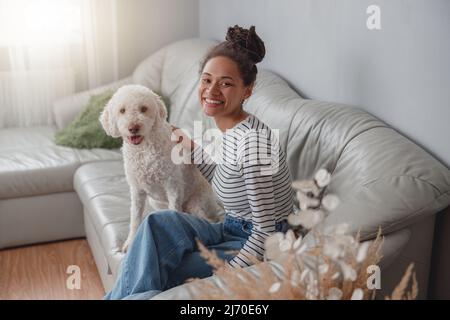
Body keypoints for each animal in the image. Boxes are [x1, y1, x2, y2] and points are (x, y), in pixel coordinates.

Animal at [100, 85, 223, 252]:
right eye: (122, 110)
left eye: (143, 109)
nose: (133, 128)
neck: (144, 149)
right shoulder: (137, 191)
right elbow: (135, 218)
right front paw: (130, 242)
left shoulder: (173, 185)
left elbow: (174, 211)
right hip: (156, 202)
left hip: (197, 203)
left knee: (208, 219)